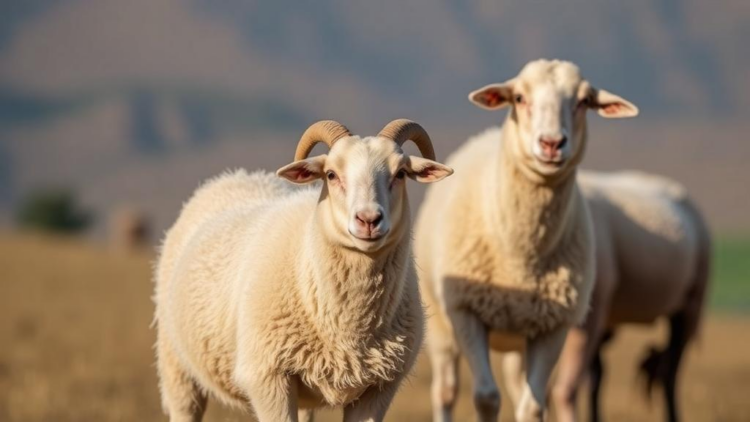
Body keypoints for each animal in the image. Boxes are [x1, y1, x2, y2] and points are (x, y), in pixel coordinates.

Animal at [153, 119, 453, 422]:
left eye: (401, 173)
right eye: (331, 174)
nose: (369, 220)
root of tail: (234, 176)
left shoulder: (379, 388)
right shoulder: (267, 378)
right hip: (176, 365)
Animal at [414, 59, 639, 422]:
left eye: (584, 101)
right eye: (519, 98)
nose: (551, 143)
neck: (521, 257)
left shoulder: (555, 324)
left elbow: (533, 405)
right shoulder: (465, 311)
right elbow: (486, 397)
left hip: (520, 332)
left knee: (519, 386)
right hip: (441, 323)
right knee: (445, 390)